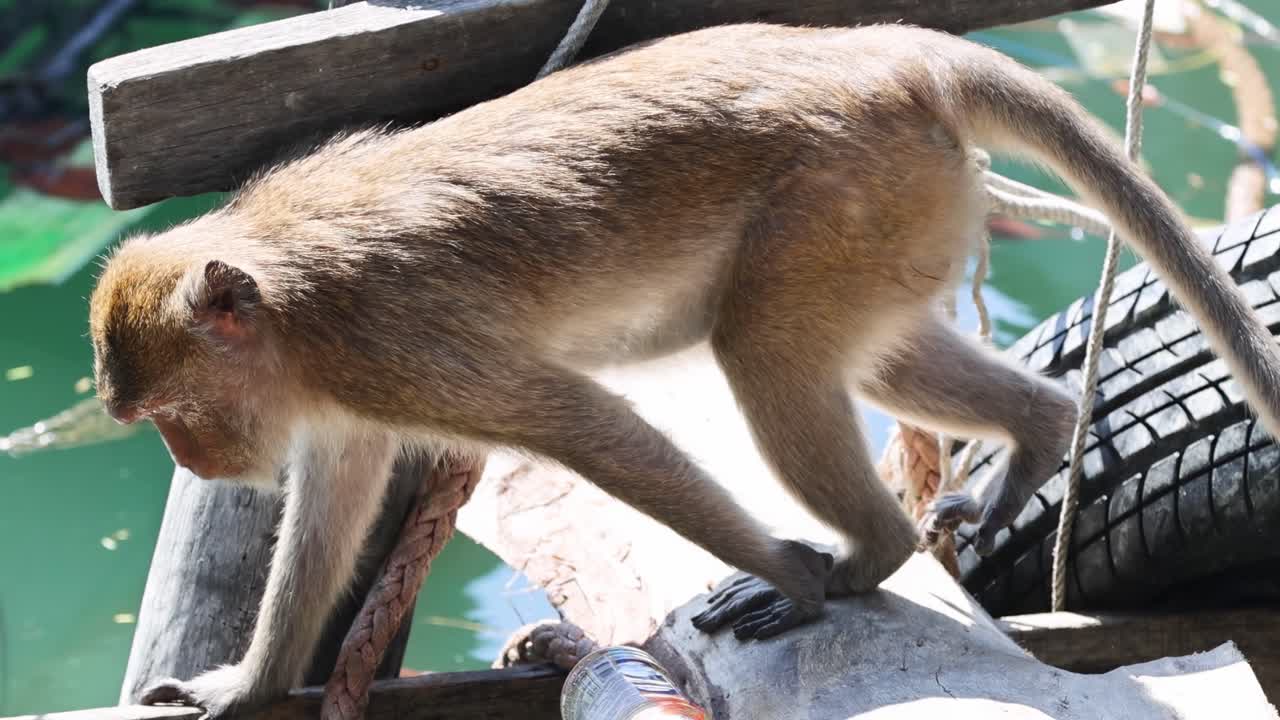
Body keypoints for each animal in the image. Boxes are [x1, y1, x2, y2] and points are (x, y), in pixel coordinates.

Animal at [88, 23, 1280, 717]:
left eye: (176, 411)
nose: (188, 456)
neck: (284, 298)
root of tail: (895, 55)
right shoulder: (347, 390)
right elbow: (335, 496)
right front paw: (249, 686)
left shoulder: (392, 348)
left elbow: (579, 425)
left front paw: (792, 571)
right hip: (902, 208)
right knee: (881, 353)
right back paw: (1034, 431)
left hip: (845, 192)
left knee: (764, 354)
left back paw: (860, 561)